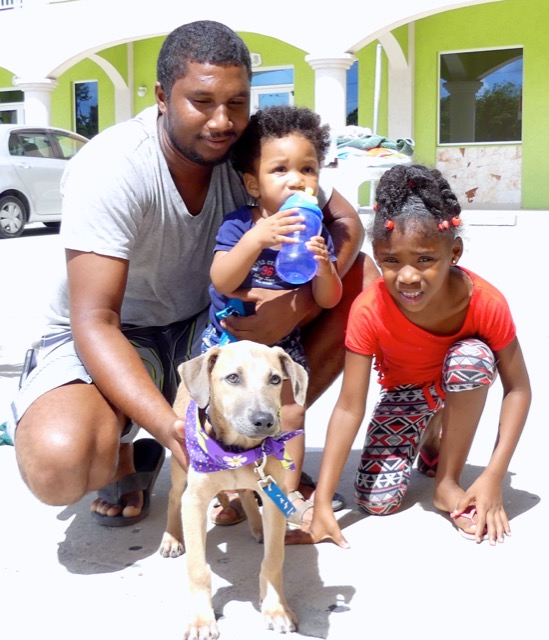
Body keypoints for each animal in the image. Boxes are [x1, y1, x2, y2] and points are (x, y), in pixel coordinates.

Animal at [158, 338, 308, 636]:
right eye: (233, 378)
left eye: (275, 379)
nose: (264, 421)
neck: (237, 451)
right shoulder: (195, 501)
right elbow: (197, 568)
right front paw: (201, 619)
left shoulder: (273, 496)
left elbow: (273, 560)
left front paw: (276, 608)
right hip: (180, 468)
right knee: (173, 495)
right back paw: (171, 538)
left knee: (246, 494)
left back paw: (258, 527)